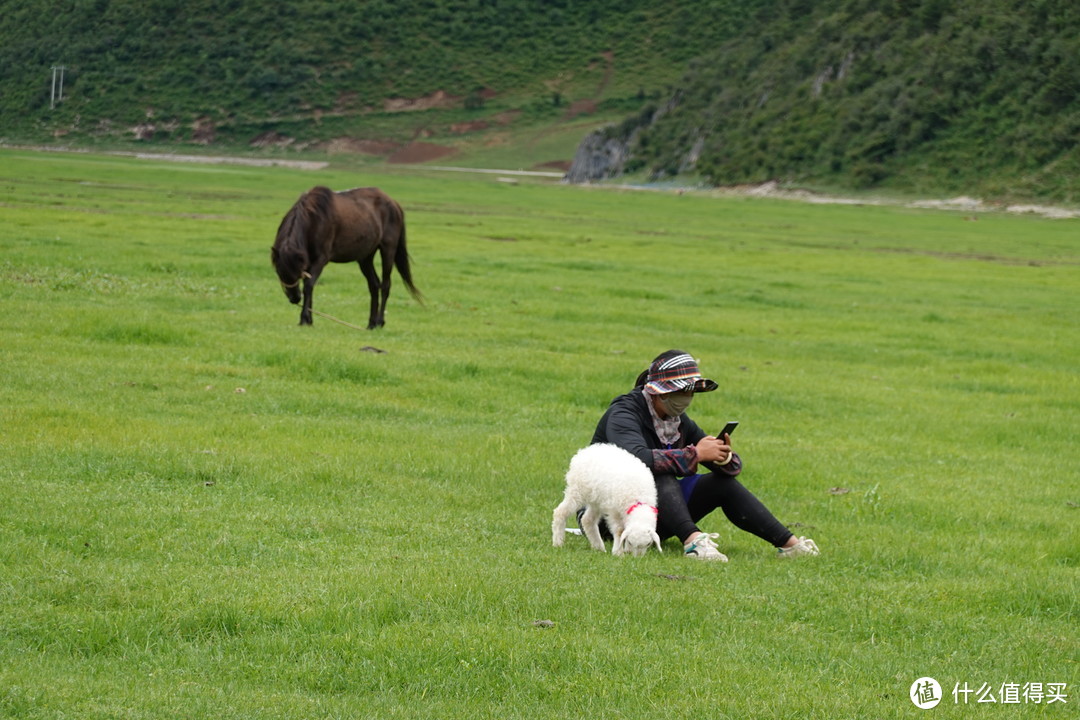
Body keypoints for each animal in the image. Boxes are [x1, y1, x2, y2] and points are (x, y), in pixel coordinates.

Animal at [272, 187, 419, 330]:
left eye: (296, 273)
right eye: (279, 272)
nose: (294, 298)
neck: (314, 221)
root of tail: (394, 204)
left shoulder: (320, 260)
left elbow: (308, 286)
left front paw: (304, 319)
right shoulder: (307, 262)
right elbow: (309, 286)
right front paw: (309, 320)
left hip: (388, 250)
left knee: (385, 285)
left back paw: (379, 322)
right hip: (365, 257)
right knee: (374, 285)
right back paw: (371, 323)